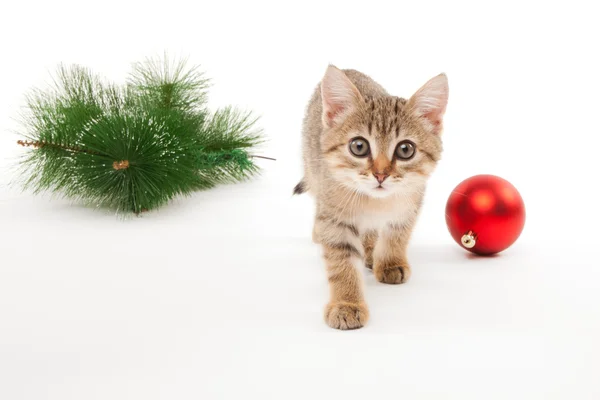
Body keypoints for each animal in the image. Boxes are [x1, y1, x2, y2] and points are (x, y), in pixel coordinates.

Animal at [292, 65, 448, 328]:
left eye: (405, 149)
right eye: (359, 146)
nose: (380, 175)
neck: (376, 203)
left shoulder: (410, 204)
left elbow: (396, 235)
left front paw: (390, 262)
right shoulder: (335, 219)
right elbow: (342, 262)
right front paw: (346, 303)